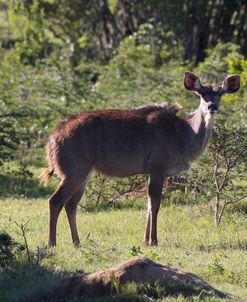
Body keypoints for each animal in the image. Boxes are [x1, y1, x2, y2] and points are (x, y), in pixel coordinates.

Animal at [42, 72, 239, 247]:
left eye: (220, 93)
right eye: (202, 93)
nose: (212, 106)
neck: (182, 134)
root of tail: (53, 139)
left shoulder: (150, 172)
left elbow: (148, 205)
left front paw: (145, 240)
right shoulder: (158, 169)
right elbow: (155, 204)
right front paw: (154, 241)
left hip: (84, 174)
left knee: (71, 204)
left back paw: (77, 242)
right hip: (74, 172)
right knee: (55, 201)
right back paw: (52, 243)